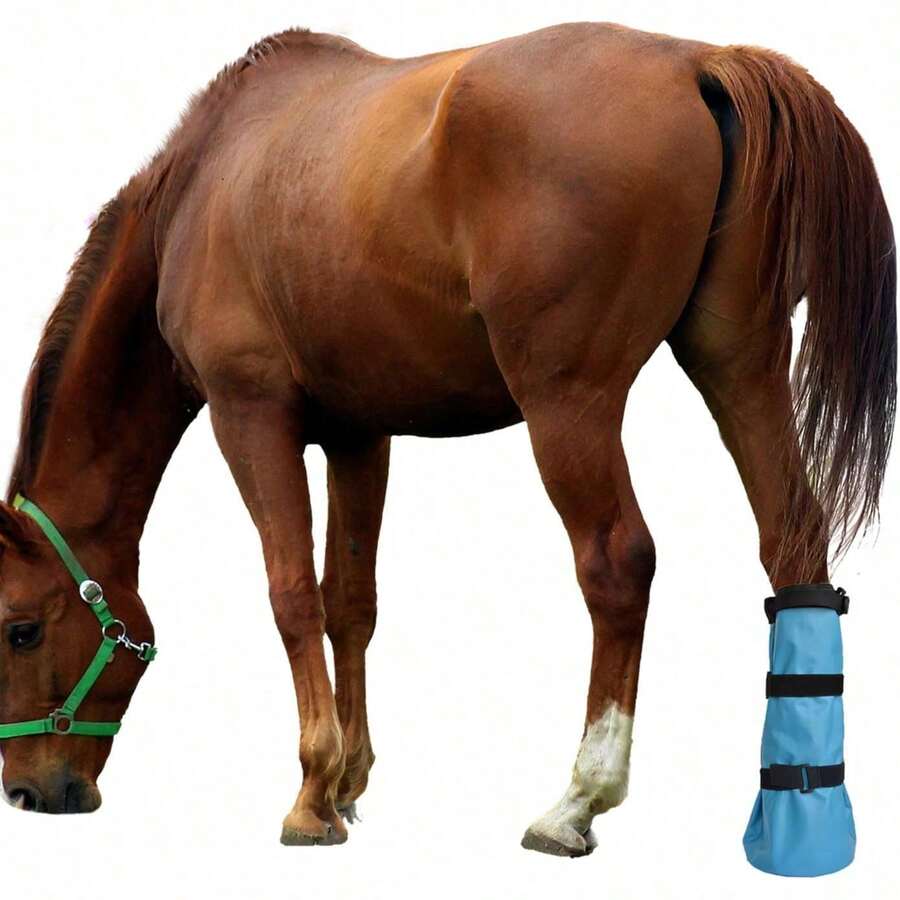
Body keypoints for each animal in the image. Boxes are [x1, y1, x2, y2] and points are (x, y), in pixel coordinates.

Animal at [0, 23, 894, 855]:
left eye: (21, 629)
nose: (30, 792)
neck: (200, 190)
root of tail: (696, 60)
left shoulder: (248, 414)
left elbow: (292, 595)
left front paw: (311, 793)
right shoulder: (359, 434)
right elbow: (348, 601)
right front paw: (347, 782)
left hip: (568, 403)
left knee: (617, 563)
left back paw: (578, 800)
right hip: (738, 368)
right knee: (793, 545)